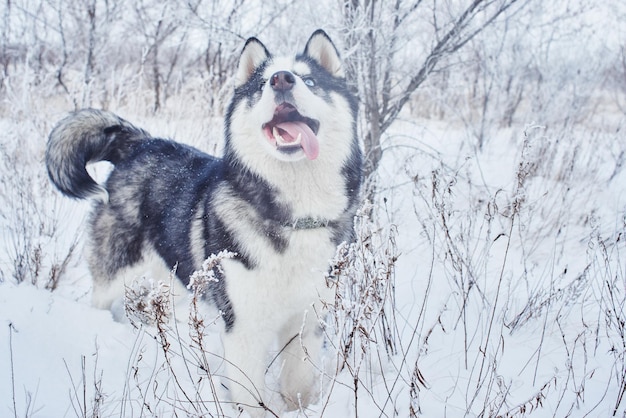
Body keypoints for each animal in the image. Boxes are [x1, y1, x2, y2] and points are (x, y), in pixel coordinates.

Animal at [46, 30, 360, 414]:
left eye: (311, 81)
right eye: (260, 84)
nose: (282, 79)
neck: (294, 218)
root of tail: (141, 143)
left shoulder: (307, 319)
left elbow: (298, 385)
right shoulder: (243, 326)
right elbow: (249, 396)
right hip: (116, 267)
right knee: (101, 298)